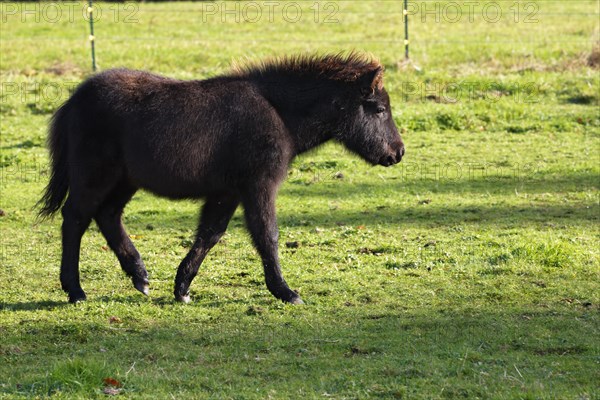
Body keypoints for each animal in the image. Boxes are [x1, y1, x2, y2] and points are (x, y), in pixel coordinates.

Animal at [37, 52, 404, 304]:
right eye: (378, 109)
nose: (398, 152)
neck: (279, 113)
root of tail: (75, 99)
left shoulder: (226, 193)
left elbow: (209, 235)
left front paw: (182, 288)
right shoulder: (258, 186)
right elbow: (266, 235)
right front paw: (286, 292)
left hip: (124, 181)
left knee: (107, 216)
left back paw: (140, 276)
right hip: (95, 176)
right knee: (75, 219)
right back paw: (75, 290)